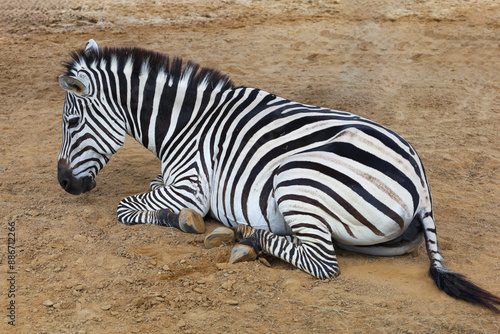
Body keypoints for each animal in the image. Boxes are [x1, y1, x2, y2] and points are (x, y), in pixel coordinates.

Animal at [56, 39, 498, 314]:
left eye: (72, 122)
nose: (63, 184)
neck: (187, 124)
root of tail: (420, 178)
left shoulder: (191, 187)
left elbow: (128, 207)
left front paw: (186, 221)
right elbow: (149, 187)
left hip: (298, 177)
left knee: (322, 262)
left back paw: (246, 237)